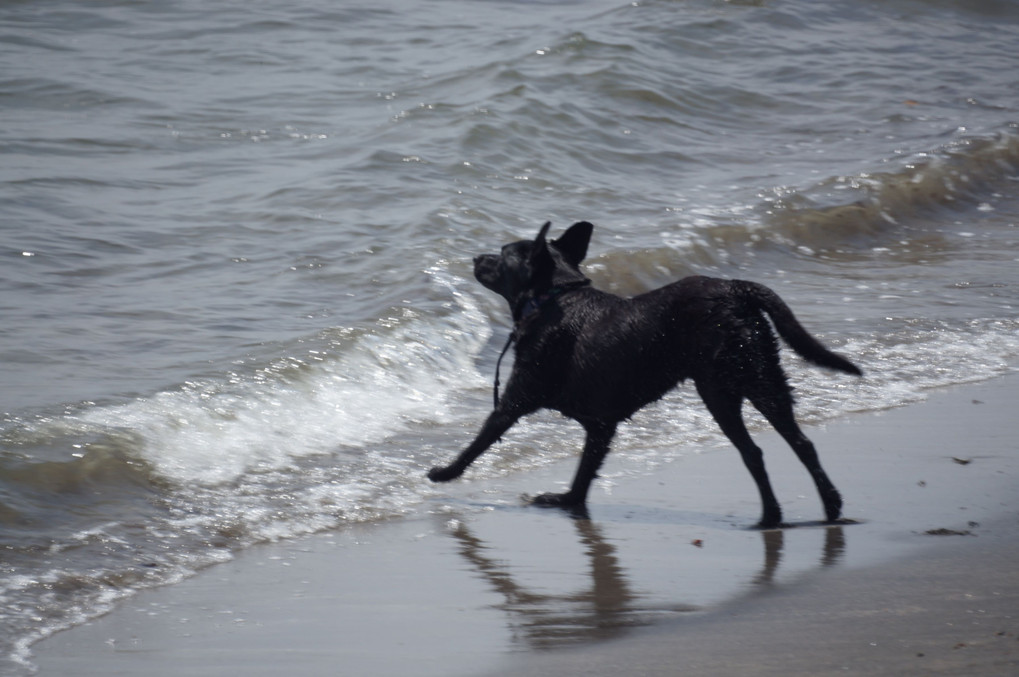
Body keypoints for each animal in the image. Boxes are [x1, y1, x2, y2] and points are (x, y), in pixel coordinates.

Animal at [425, 222, 864, 530]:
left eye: (501, 255)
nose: (475, 258)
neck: (552, 299)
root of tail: (736, 289)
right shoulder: (601, 425)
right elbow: (584, 472)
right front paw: (568, 501)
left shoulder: (515, 401)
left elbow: (479, 441)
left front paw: (443, 473)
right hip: (758, 379)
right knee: (793, 445)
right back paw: (818, 508)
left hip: (723, 386)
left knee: (760, 450)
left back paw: (775, 517)